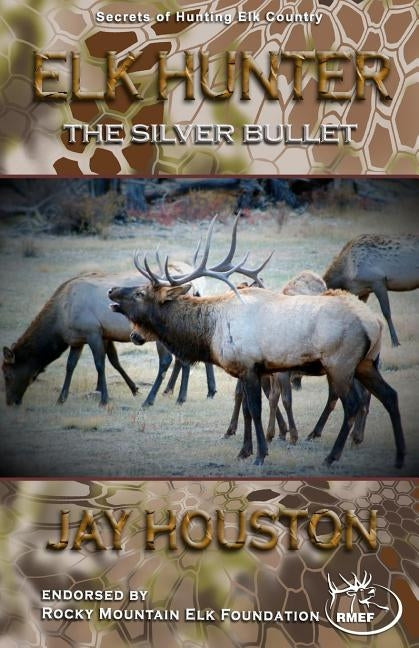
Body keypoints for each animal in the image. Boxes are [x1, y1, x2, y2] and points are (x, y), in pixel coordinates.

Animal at [109, 216, 405, 468]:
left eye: (140, 293)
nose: (111, 289)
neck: (210, 332)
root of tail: (373, 323)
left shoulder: (250, 367)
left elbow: (255, 409)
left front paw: (261, 455)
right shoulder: (249, 370)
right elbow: (247, 411)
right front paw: (244, 451)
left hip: (340, 363)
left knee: (353, 404)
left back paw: (331, 456)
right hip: (366, 363)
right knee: (390, 395)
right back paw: (399, 456)